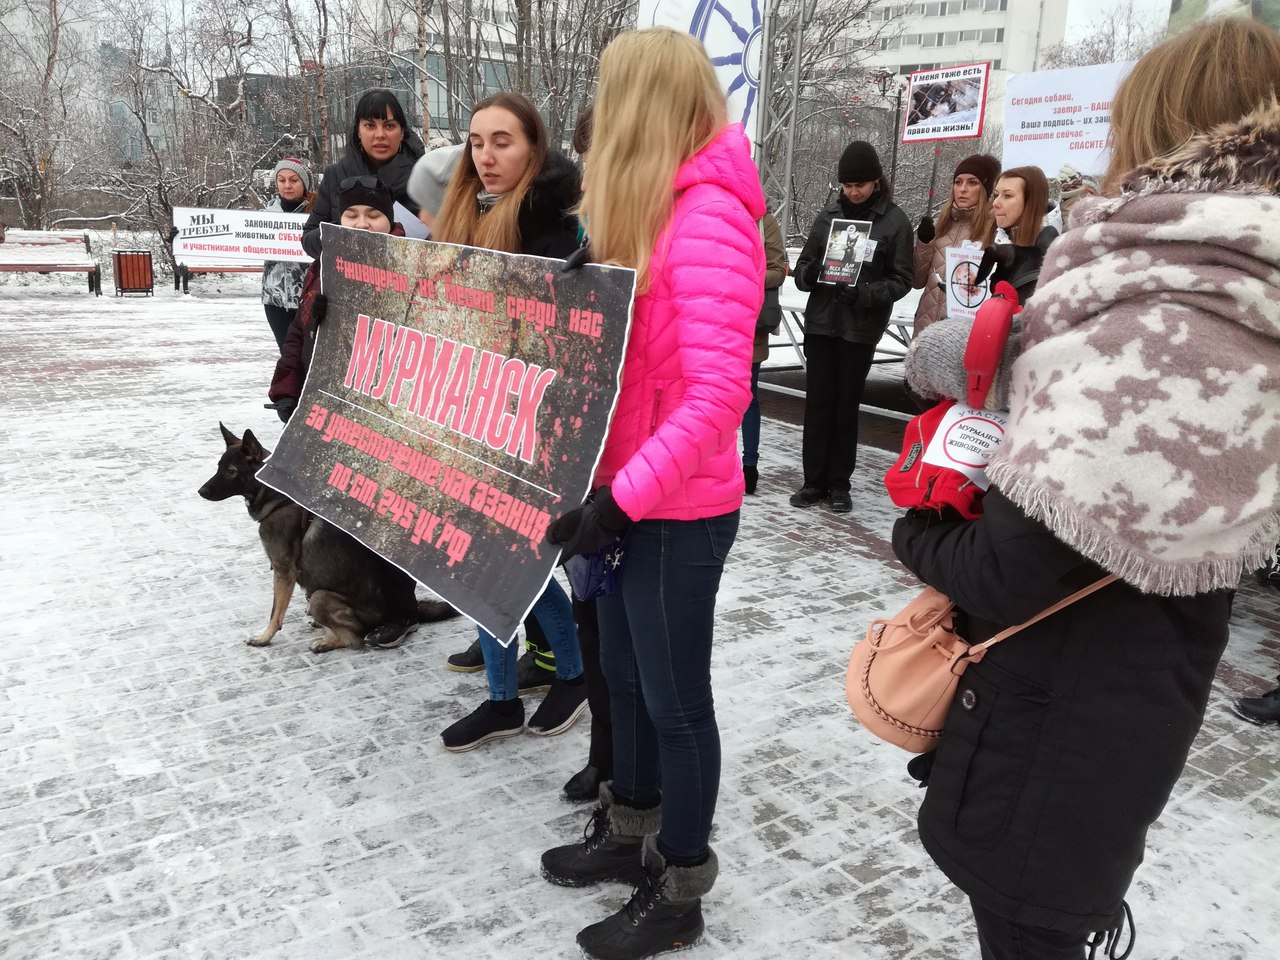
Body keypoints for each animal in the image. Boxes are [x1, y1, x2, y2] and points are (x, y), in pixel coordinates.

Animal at [197, 427, 458, 655]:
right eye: (219, 467)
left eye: (231, 470)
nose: (201, 492)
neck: (276, 498)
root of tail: (398, 614)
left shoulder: (283, 572)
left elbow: (275, 613)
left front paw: (264, 637)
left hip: (320, 597)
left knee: (353, 638)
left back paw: (326, 641)